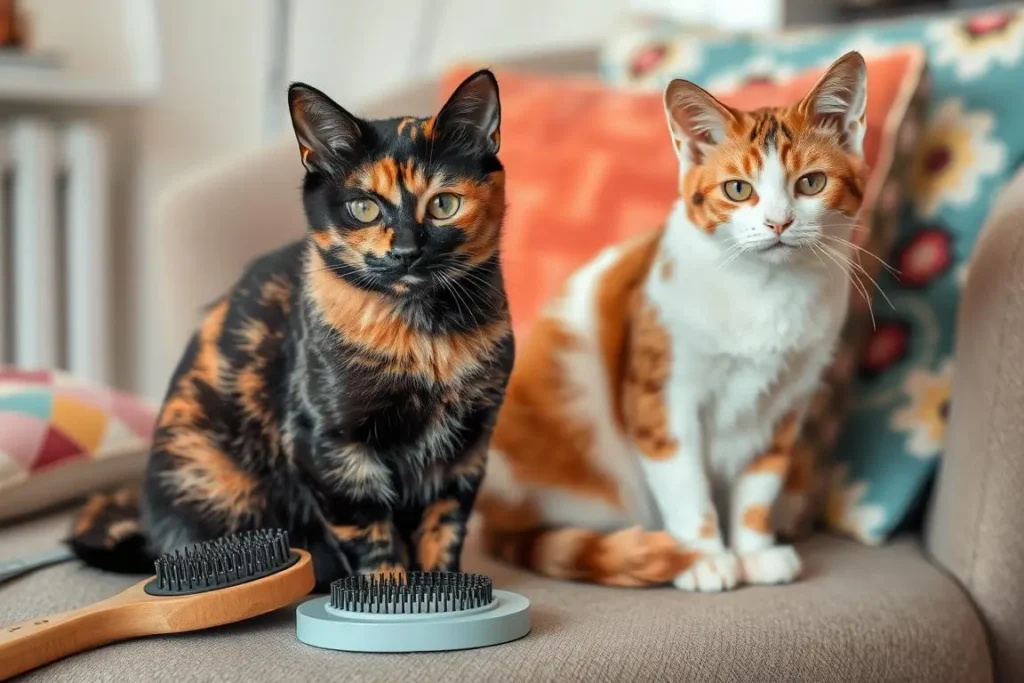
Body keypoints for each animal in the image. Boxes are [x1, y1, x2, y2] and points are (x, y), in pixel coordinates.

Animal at [70, 72, 512, 589]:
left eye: (444, 204)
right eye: (364, 208)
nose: (405, 251)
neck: (427, 338)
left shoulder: (467, 447)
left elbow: (444, 528)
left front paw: (446, 588)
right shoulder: (327, 445)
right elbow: (371, 537)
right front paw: (387, 592)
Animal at [475, 52, 868, 593]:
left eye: (811, 182)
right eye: (738, 189)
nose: (778, 223)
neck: (766, 291)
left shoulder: (786, 402)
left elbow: (759, 481)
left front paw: (753, 551)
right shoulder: (661, 395)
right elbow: (685, 481)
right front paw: (702, 557)